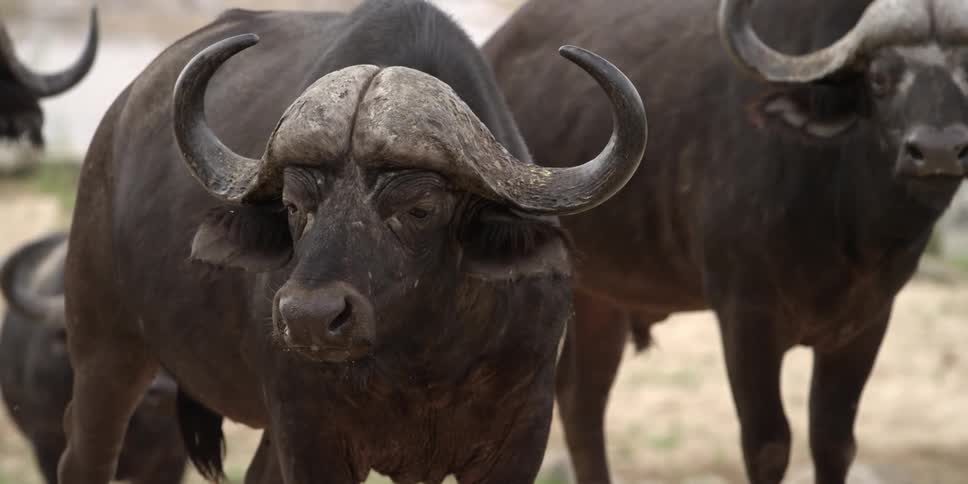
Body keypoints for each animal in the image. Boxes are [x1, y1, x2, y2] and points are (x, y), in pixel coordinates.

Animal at [59, 1, 646, 483]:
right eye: (295, 205)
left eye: (420, 208)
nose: (309, 318)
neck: (424, 358)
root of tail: (112, 131)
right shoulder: (308, 433)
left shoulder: (521, 434)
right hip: (103, 351)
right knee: (83, 456)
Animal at [485, 0, 968, 483]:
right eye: (880, 79)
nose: (938, 152)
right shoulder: (744, 316)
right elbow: (768, 444)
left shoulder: (866, 323)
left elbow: (834, 442)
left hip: (600, 298)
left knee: (582, 400)